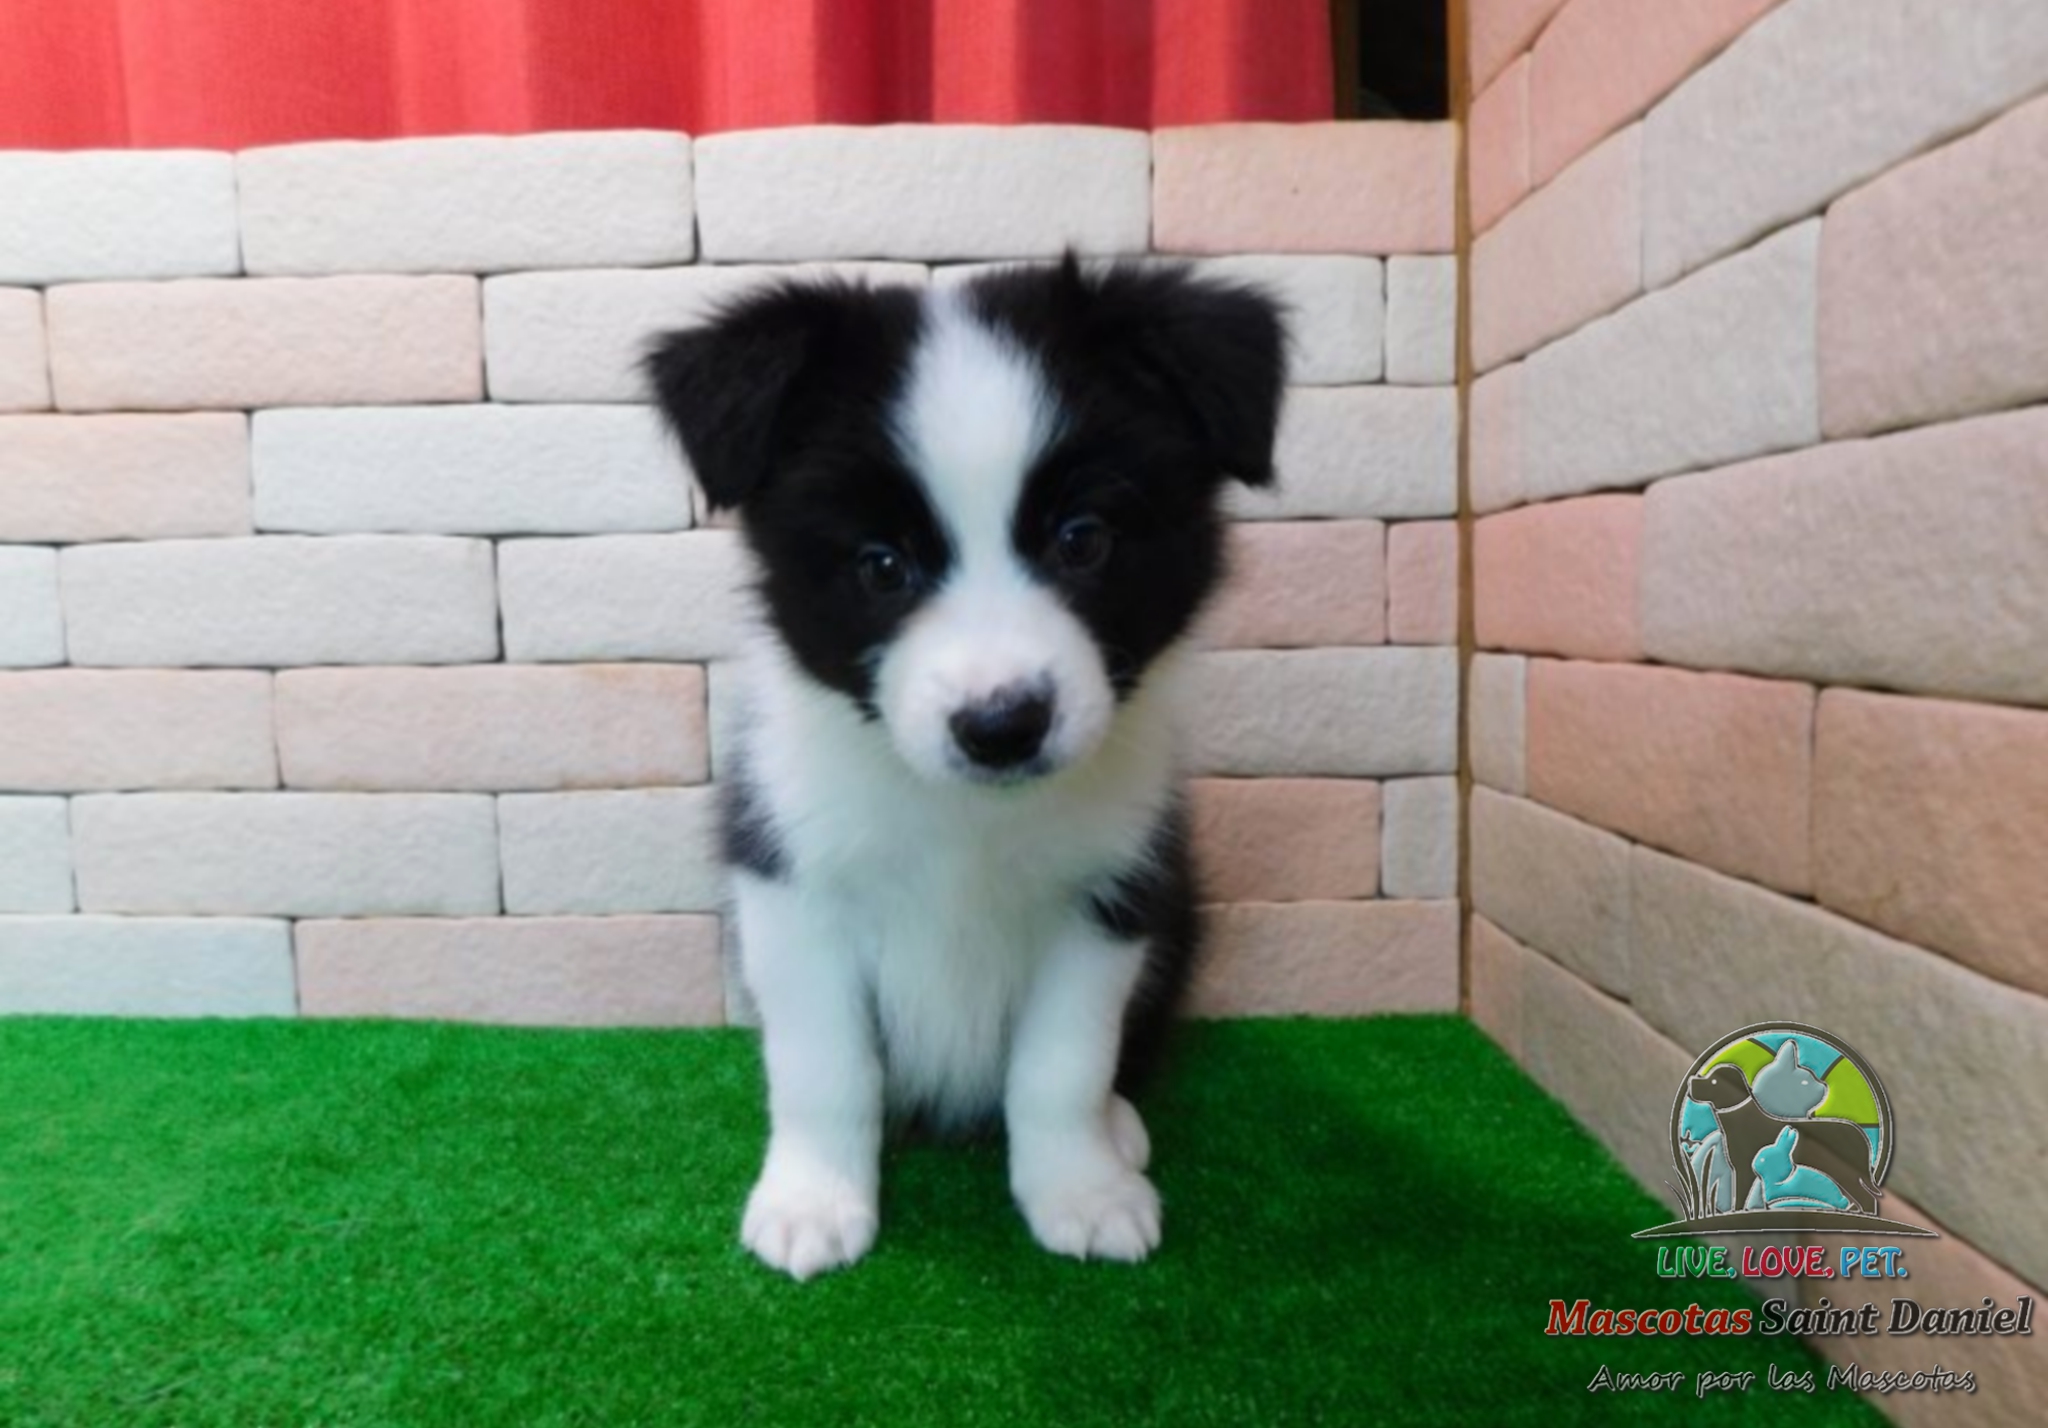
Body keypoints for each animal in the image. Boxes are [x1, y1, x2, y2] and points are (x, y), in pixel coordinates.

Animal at [645, 258, 1287, 1280]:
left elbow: (1063, 1066)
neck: (966, 817)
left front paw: (1083, 1193)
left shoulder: (1109, 897)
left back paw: (1121, 1129)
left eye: (1083, 539)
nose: (1003, 726)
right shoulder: (792, 885)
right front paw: (813, 1203)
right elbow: (824, 1064)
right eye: (881, 565)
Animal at [1687, 1064, 1879, 1215]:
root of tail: (1859, 1136)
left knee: (1867, 1198)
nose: (1691, 1080)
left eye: (1713, 1081)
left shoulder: (1744, 1169)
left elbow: (1741, 1197)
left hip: (1848, 1175)